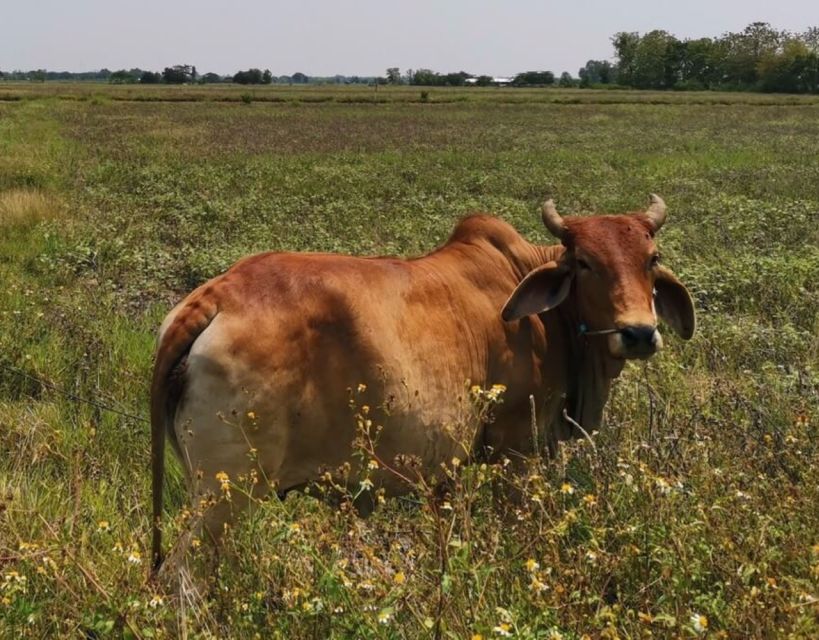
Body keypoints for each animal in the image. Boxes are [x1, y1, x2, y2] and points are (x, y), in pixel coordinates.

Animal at [151, 192, 696, 568]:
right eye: (584, 263)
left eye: (651, 259)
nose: (638, 333)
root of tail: (217, 295)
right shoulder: (517, 452)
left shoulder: (447, 471)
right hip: (226, 496)